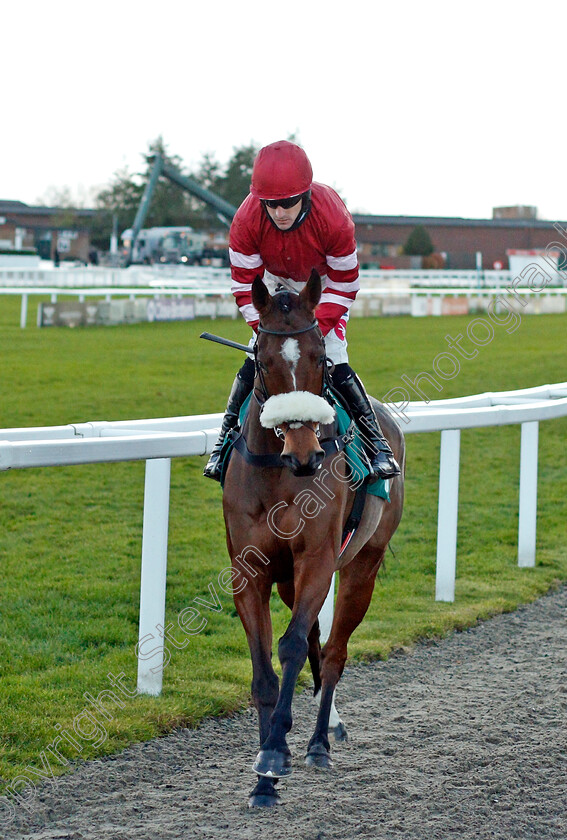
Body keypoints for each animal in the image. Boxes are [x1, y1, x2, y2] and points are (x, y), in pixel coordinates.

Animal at [221, 270, 404, 808]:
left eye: (321, 358)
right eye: (261, 360)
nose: (304, 453)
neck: (279, 474)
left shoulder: (318, 561)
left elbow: (291, 646)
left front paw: (276, 752)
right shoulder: (250, 572)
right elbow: (265, 671)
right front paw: (264, 778)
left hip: (362, 564)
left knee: (337, 650)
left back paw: (321, 741)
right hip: (289, 581)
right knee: (321, 645)